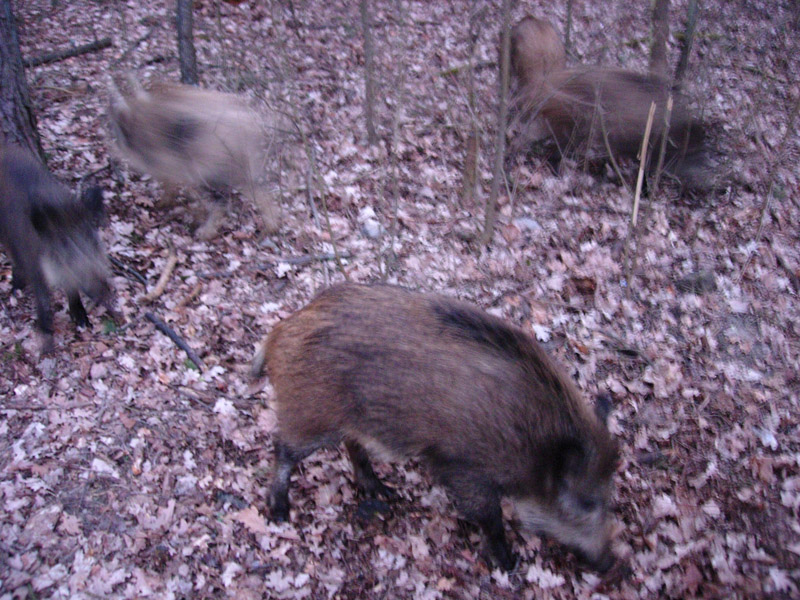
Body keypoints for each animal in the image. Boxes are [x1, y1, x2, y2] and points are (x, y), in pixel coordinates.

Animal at [0, 145, 112, 353]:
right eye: (64, 245)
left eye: (92, 239)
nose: (105, 292)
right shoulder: (34, 265)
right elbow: (43, 300)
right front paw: (46, 346)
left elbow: (72, 290)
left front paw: (83, 322)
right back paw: (16, 289)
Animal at [108, 78, 281, 239]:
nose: (113, 150)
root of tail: (255, 128)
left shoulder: (169, 165)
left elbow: (171, 186)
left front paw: (163, 204)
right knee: (259, 193)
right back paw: (270, 229)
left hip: (216, 172)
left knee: (224, 203)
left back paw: (205, 233)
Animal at [252, 283, 619, 572]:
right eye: (587, 502)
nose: (615, 565)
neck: (533, 444)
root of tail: (280, 331)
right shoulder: (464, 468)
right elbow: (490, 517)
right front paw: (507, 563)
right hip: (311, 413)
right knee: (284, 448)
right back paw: (280, 512)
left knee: (352, 446)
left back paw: (382, 492)